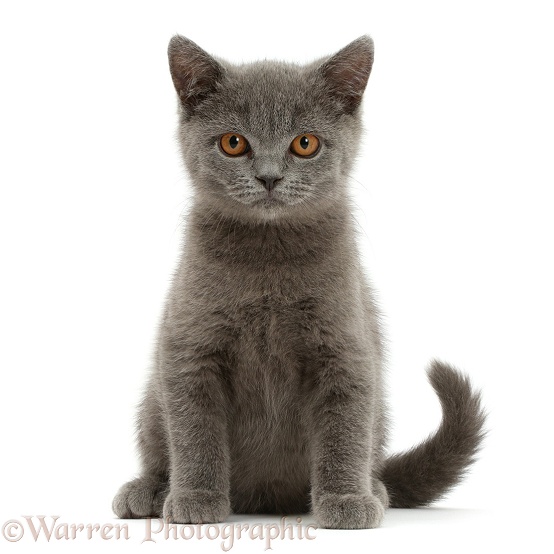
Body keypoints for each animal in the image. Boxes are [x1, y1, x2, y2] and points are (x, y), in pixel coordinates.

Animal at [111, 34, 484, 528]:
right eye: (233, 143)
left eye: (305, 143)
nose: (269, 177)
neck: (269, 262)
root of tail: (264, 501)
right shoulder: (188, 348)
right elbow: (195, 431)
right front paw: (195, 497)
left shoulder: (346, 349)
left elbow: (344, 432)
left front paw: (346, 500)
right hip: (152, 404)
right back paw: (149, 491)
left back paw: (376, 489)